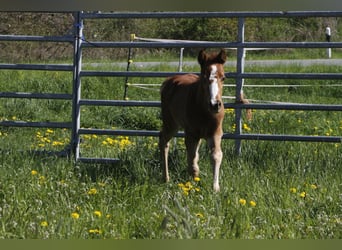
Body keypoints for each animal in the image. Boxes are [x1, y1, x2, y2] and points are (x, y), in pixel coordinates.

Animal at [160, 49, 227, 192]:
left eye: (223, 77)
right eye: (204, 76)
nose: (215, 104)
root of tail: (169, 81)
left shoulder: (216, 133)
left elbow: (216, 155)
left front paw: (215, 188)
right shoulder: (191, 134)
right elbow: (192, 162)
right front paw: (193, 185)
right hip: (171, 123)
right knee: (163, 140)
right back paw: (166, 178)